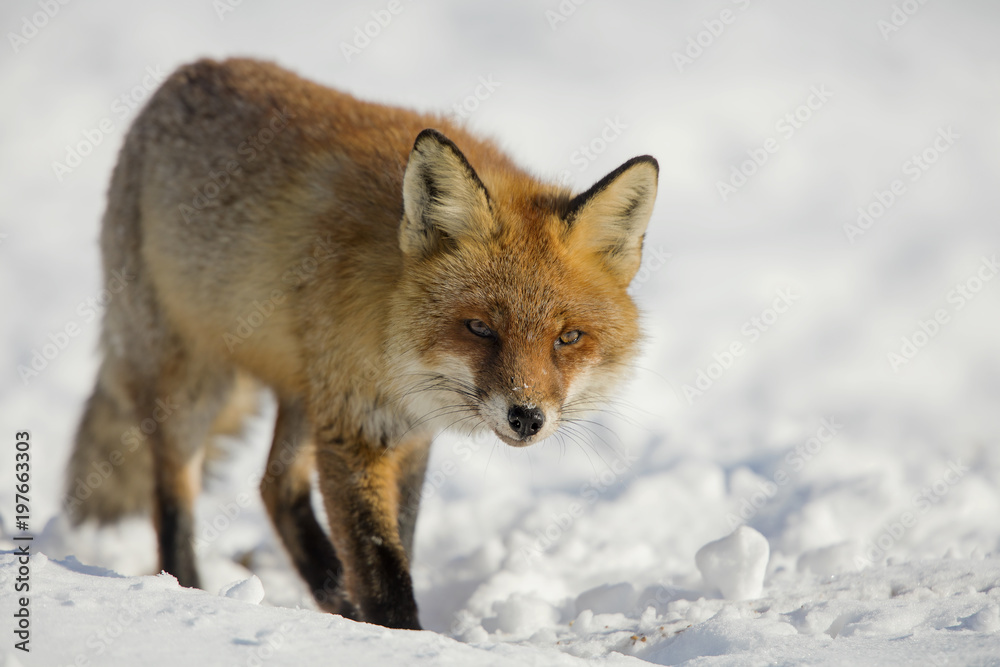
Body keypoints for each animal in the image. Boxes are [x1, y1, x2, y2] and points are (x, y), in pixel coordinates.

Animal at [65, 57, 658, 630]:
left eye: (568, 338)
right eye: (480, 328)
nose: (527, 417)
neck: (393, 346)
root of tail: (180, 76)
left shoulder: (410, 432)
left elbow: (402, 541)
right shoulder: (354, 428)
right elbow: (382, 568)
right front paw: (400, 639)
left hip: (302, 392)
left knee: (275, 486)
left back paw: (333, 595)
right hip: (193, 386)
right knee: (173, 503)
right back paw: (193, 591)